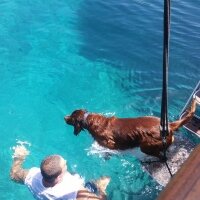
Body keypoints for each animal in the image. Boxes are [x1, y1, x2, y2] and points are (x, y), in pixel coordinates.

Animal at [65, 98, 198, 158]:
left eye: (71, 117)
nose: (64, 117)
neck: (88, 120)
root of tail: (168, 125)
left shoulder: (109, 143)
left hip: (146, 145)